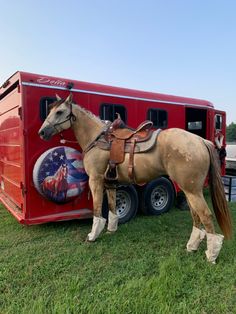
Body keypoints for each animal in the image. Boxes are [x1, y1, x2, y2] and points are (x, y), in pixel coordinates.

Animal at [37, 94, 231, 264]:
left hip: (192, 190)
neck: (97, 139)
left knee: (205, 215)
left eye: (60, 112)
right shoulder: (111, 183)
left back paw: (211, 255)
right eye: (50, 110)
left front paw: (93, 235)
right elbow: (113, 207)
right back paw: (192, 246)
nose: (42, 132)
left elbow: (97, 209)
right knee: (196, 215)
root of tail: (201, 141)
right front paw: (111, 229)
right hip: (189, 189)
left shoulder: (96, 180)